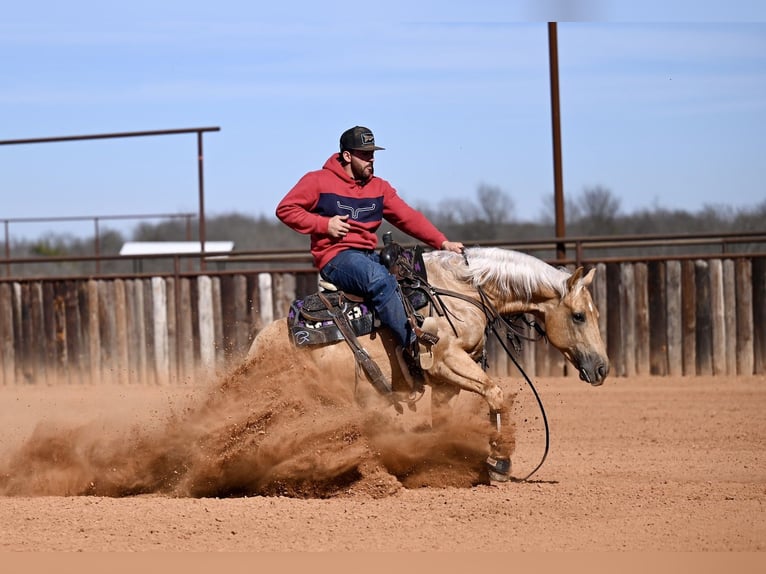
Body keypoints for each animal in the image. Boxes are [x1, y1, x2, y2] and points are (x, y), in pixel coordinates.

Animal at [246, 246, 609, 482]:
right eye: (579, 315)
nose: (602, 368)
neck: (462, 291)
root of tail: (257, 348)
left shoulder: (446, 383)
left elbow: (443, 420)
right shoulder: (446, 361)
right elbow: (495, 393)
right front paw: (500, 463)